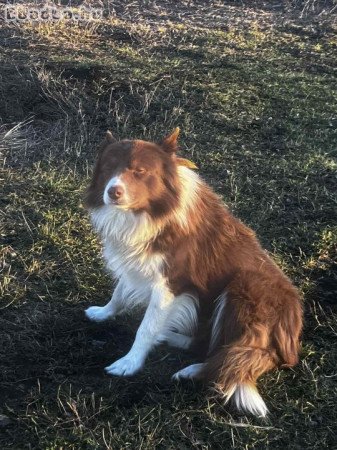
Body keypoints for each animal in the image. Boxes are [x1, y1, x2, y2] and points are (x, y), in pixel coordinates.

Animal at [84, 128, 302, 416]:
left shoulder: (171, 283)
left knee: (234, 358)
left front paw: (130, 362)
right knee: (210, 346)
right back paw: (171, 338)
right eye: (109, 167)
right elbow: (119, 292)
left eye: (140, 171)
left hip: (245, 287)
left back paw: (193, 370)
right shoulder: (137, 265)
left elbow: (146, 327)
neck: (151, 212)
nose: (114, 192)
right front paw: (104, 312)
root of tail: (290, 344)